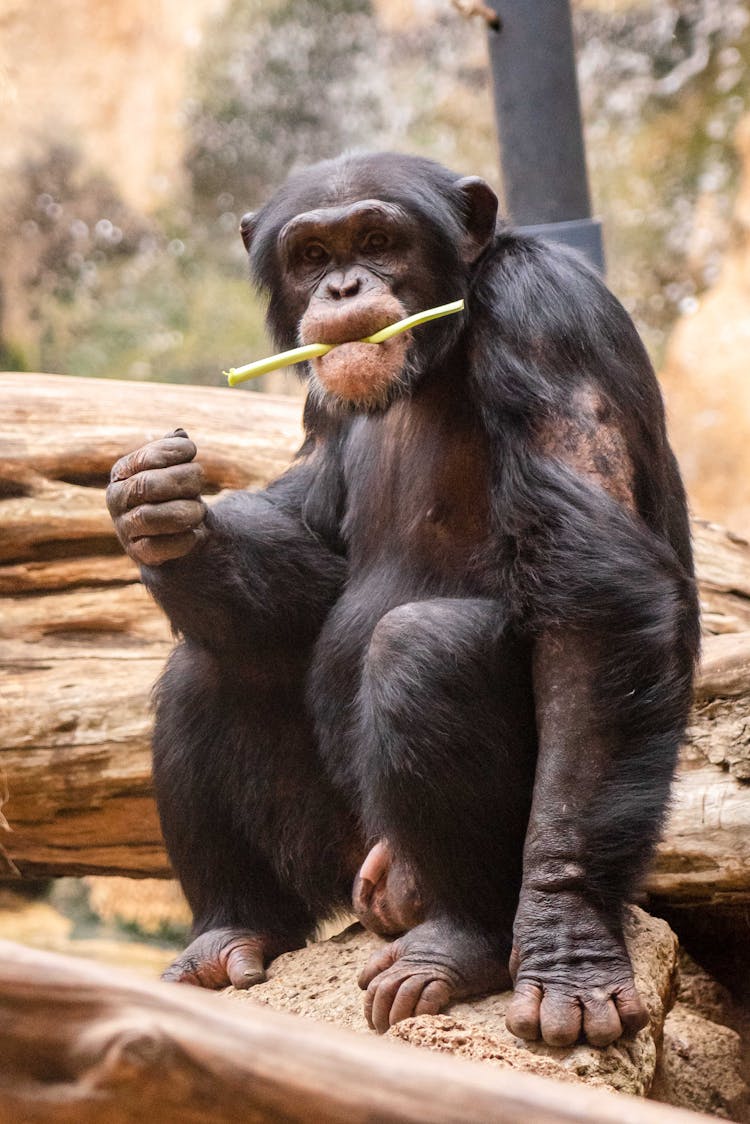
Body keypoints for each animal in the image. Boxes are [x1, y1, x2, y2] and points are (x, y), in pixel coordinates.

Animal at [108, 153, 701, 1047]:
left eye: (379, 241)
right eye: (313, 254)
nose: (344, 286)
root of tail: (378, 887)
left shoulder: (544, 318)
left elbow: (592, 599)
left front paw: (567, 944)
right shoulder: (319, 400)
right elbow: (318, 552)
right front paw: (165, 513)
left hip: (417, 876)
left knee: (424, 648)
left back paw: (462, 942)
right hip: (338, 850)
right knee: (204, 672)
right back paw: (230, 932)